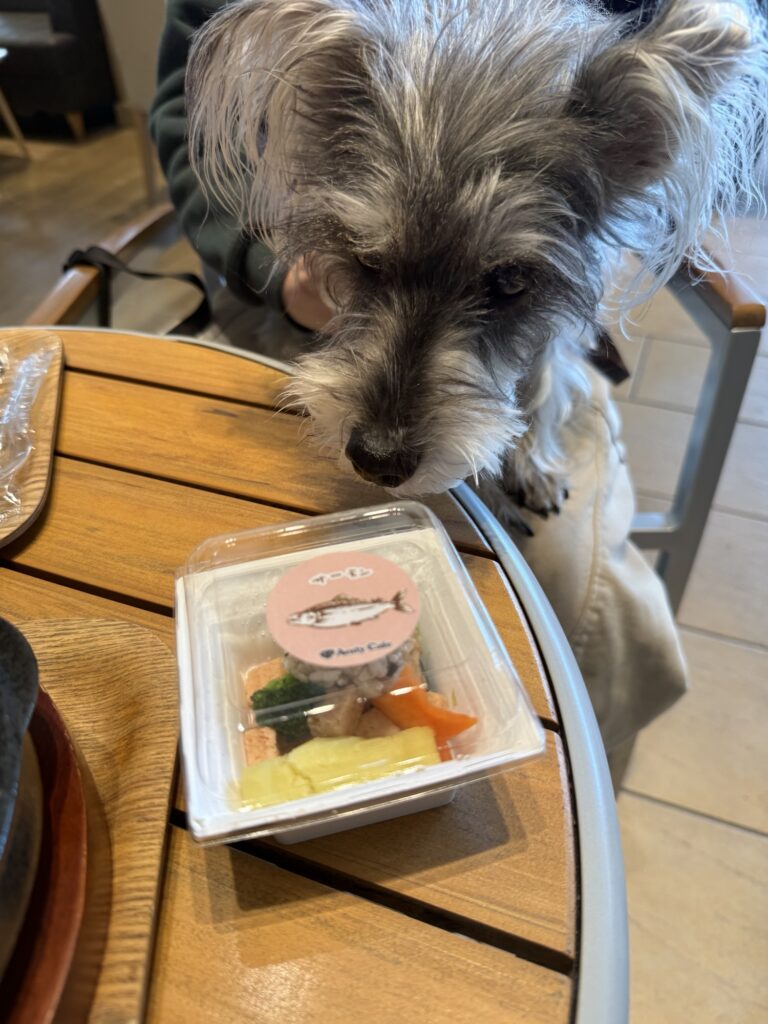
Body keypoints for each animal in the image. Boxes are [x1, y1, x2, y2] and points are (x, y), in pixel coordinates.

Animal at [187, 0, 767, 533]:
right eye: (366, 259)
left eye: (511, 282)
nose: (377, 458)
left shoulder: (552, 327)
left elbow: (541, 386)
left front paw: (532, 464)